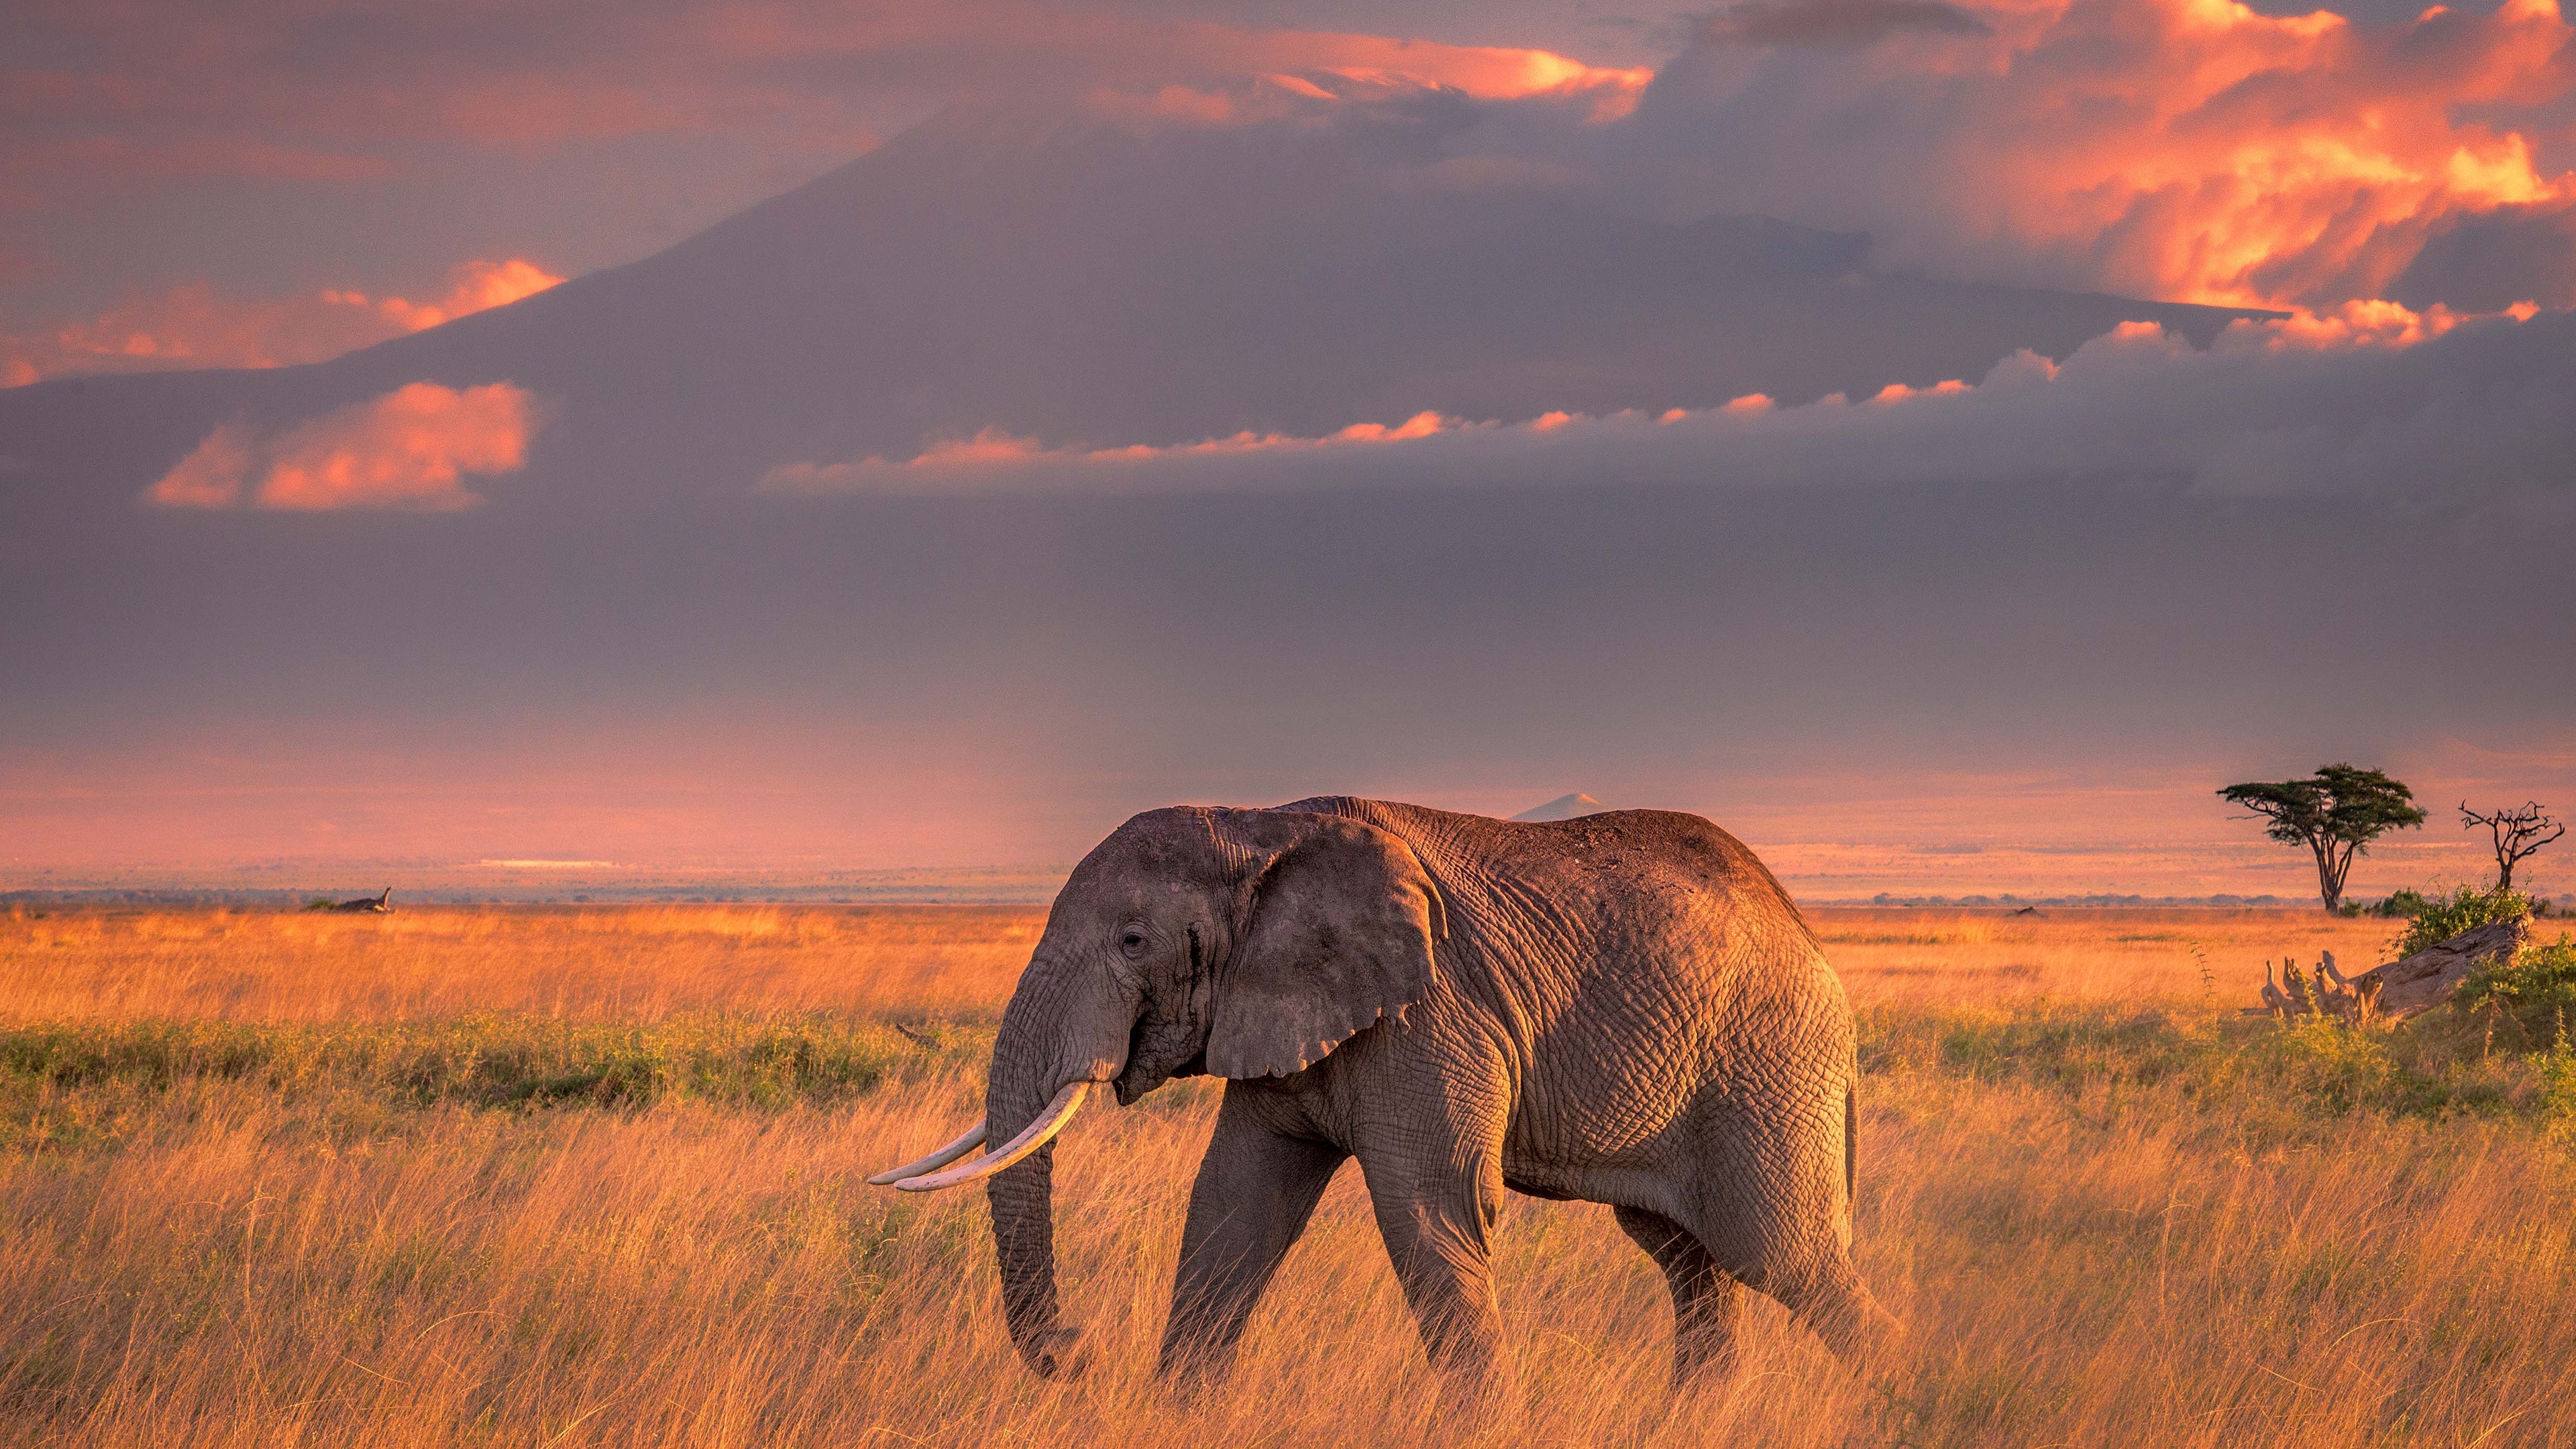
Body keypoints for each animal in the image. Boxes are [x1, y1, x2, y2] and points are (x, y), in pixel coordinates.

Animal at [871, 796, 1900, 1396]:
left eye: (1132, 942)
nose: (1072, 1353)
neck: (1260, 826)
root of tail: (1811, 941)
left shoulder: (1430, 1014)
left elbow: (1430, 1210)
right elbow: (1237, 1205)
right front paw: (1179, 1413)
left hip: (1766, 1070)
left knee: (1784, 1255)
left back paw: (1905, 1395)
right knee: (1688, 1263)